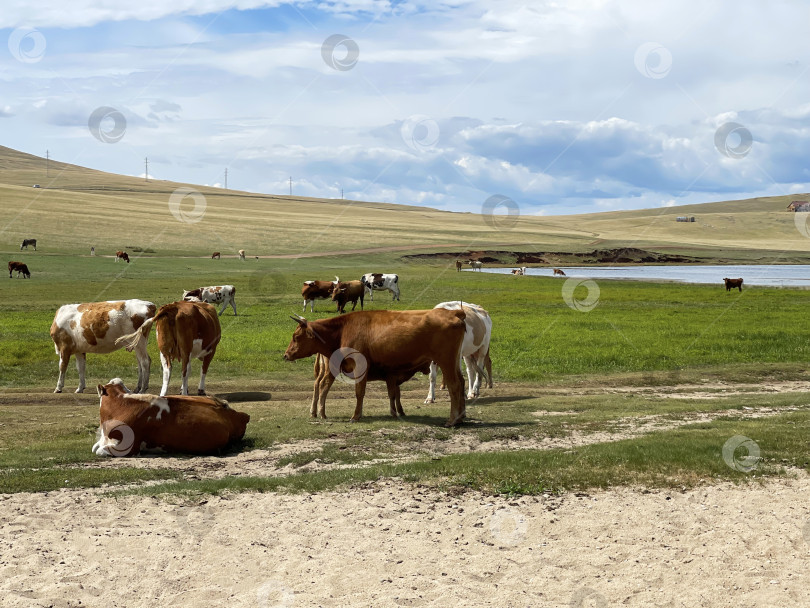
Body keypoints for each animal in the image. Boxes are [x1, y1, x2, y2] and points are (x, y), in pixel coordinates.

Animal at [284, 308, 464, 428]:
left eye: (296, 336)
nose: (286, 355)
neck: (343, 329)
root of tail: (453, 312)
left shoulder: (360, 366)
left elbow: (359, 392)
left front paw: (356, 416)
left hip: (446, 361)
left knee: (454, 385)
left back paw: (452, 420)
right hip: (454, 362)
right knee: (461, 382)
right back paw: (461, 417)